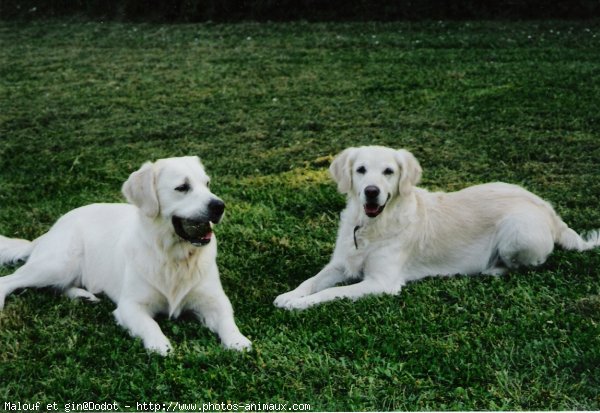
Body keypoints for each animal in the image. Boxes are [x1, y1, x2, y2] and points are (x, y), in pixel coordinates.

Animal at [0, 156, 251, 356]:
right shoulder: (130, 306)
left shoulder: (215, 300)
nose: (219, 206)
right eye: (182, 187)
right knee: (9, 280)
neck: (174, 257)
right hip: (59, 264)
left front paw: (238, 341)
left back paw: (83, 295)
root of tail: (53, 227)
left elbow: (227, 320)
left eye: (207, 184)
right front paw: (160, 345)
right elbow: (151, 325)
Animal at [276, 145, 600, 308]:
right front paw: (290, 295)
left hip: (517, 232)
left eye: (388, 171)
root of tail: (547, 207)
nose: (371, 191)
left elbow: (332, 293)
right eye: (361, 170)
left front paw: (300, 304)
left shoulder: (382, 282)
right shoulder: (341, 263)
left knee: (528, 264)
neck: (372, 224)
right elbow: (312, 281)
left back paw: (492, 270)